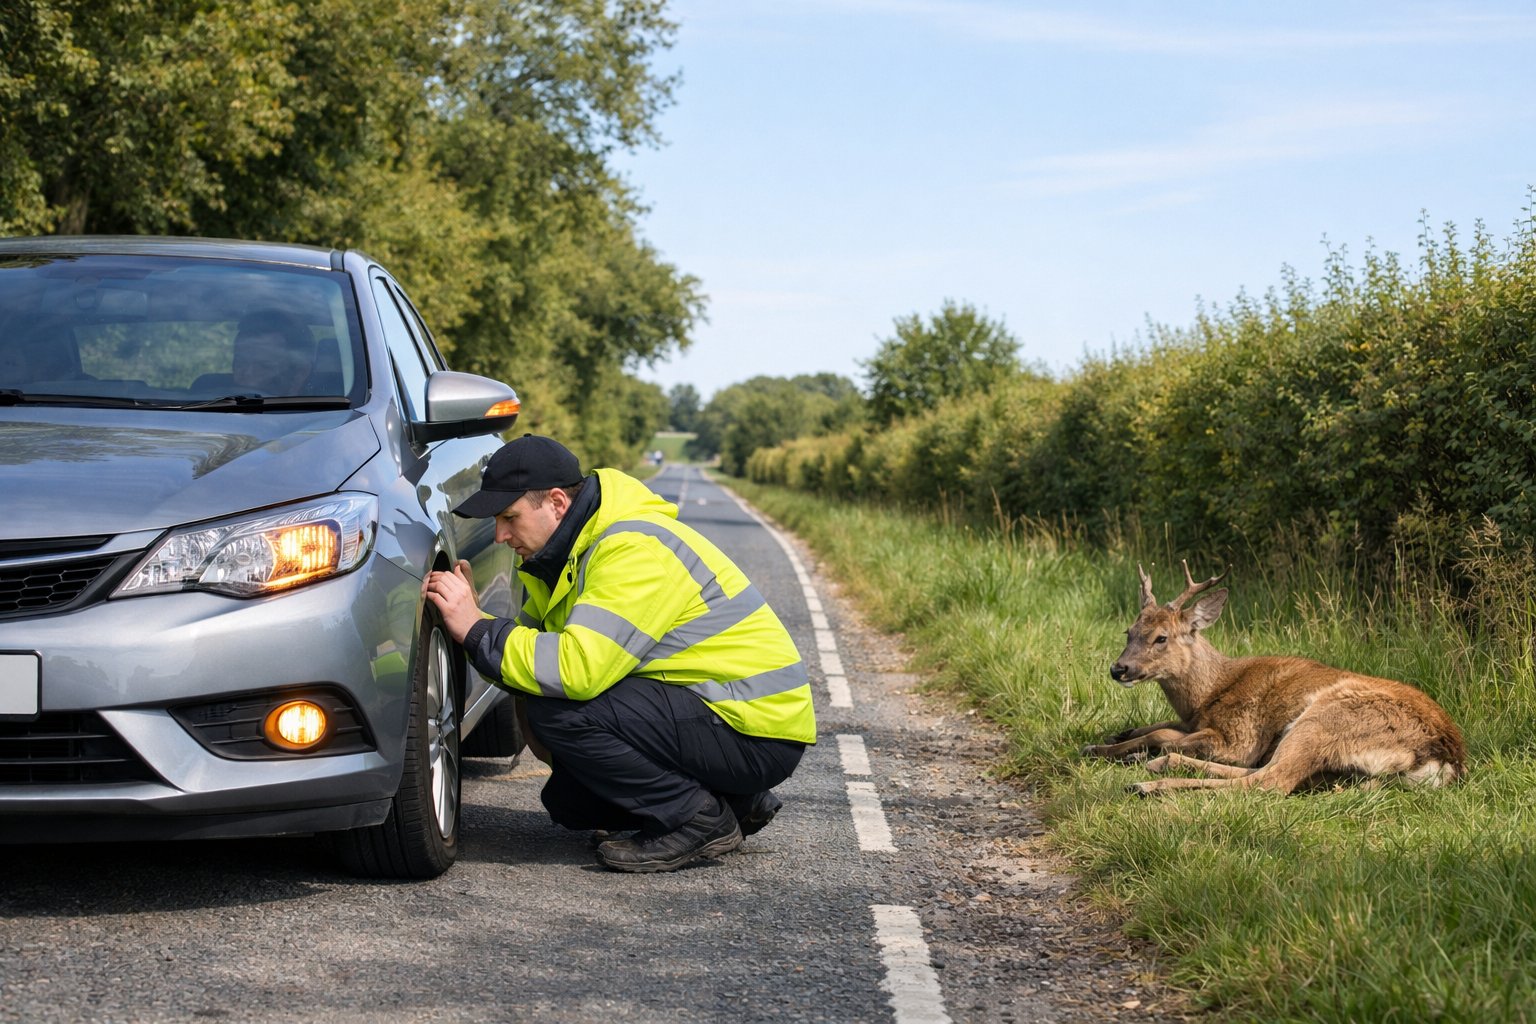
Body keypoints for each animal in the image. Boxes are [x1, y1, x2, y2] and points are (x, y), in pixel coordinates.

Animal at [1084, 561, 1467, 797]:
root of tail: (1446, 760)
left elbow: (1164, 734)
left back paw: (1150, 779)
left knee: (1269, 780)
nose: (1119, 668)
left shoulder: (1240, 736)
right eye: (1129, 631)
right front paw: (1111, 741)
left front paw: (1107, 749)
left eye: (1161, 637)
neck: (1209, 693)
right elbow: (1155, 726)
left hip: (1327, 718)